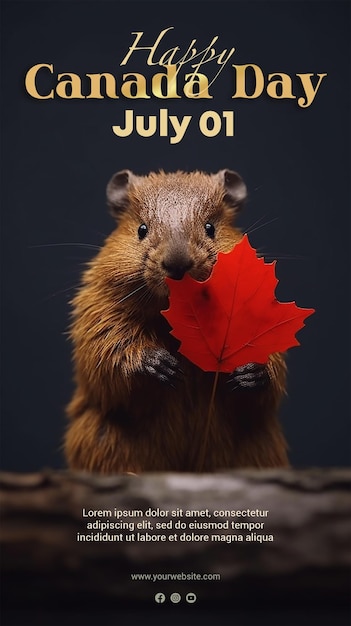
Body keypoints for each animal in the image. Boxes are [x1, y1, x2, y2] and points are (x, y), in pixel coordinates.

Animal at [64, 168, 290, 470]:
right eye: (141, 229)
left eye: (210, 227)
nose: (177, 264)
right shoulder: (99, 309)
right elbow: (105, 355)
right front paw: (162, 365)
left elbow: (270, 380)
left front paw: (249, 374)